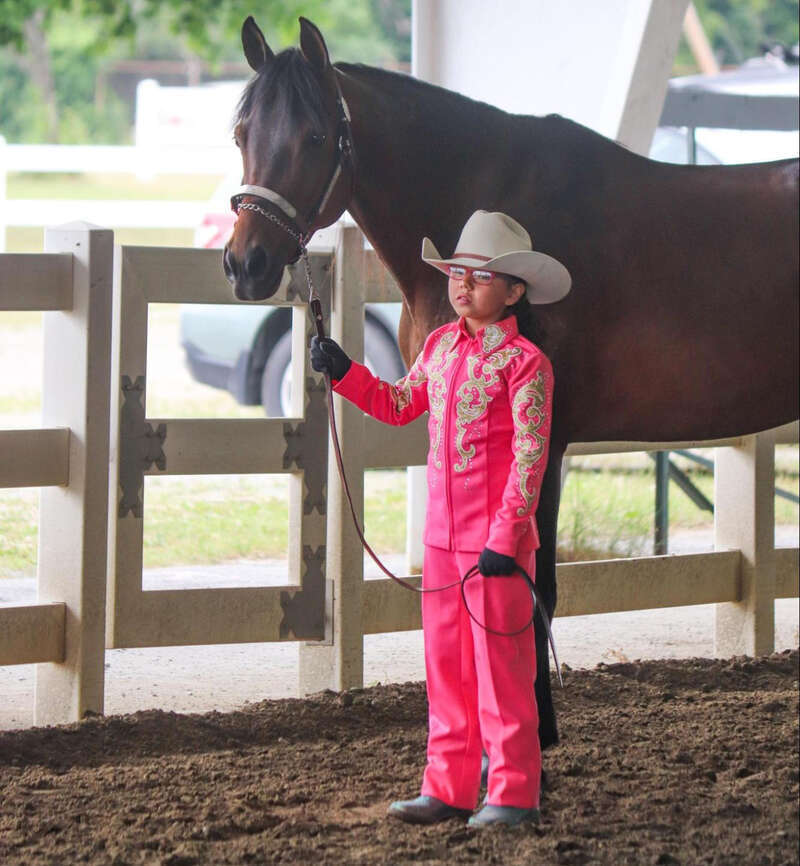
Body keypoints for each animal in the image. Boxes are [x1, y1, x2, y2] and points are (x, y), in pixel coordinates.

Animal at [223, 18, 800, 748]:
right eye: (241, 132)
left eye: (316, 138)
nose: (247, 263)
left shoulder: (544, 440)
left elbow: (529, 585)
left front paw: (533, 734)